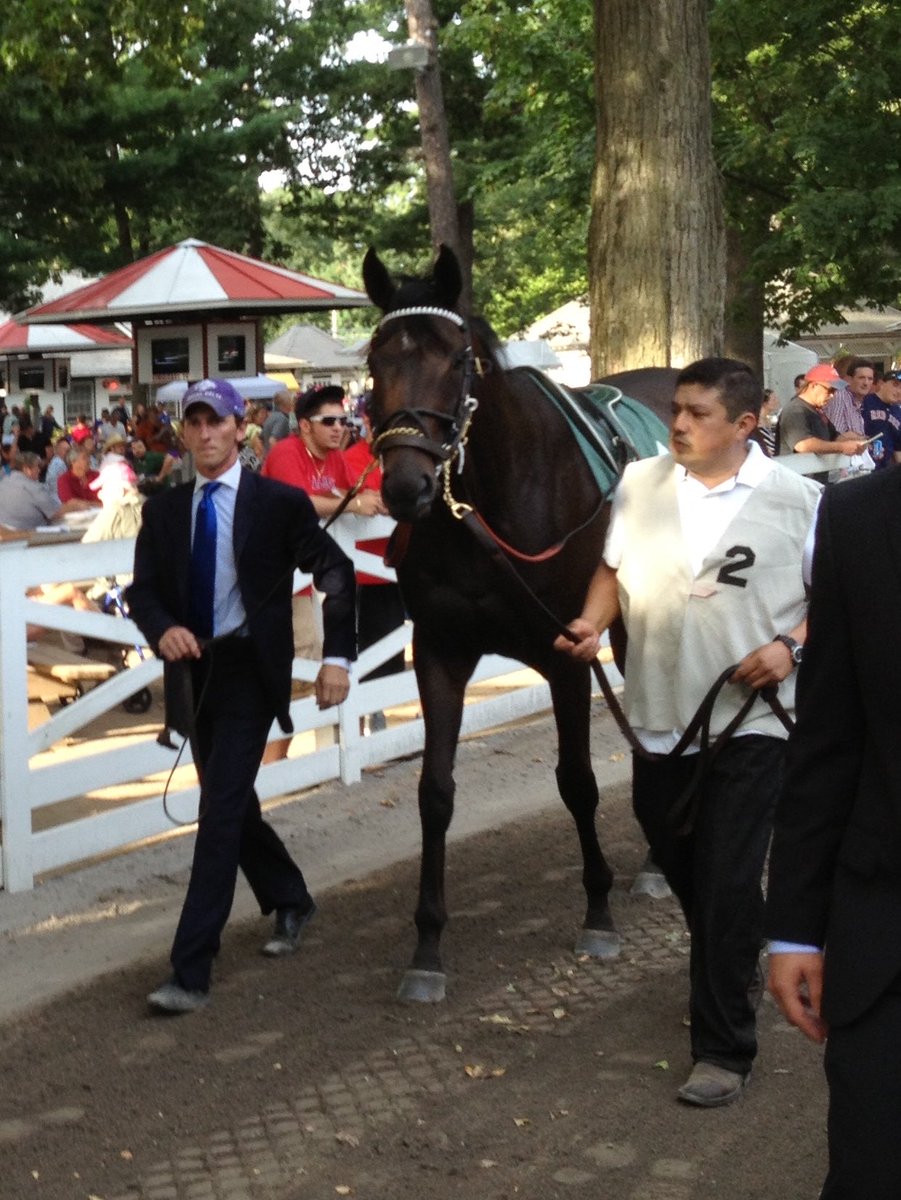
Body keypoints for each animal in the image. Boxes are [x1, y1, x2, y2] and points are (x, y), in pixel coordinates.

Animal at [362, 245, 666, 1002]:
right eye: (375, 359)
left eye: (456, 360)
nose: (406, 486)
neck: (490, 502)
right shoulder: (440, 651)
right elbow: (434, 793)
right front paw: (427, 947)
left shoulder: (565, 653)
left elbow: (577, 780)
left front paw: (597, 912)